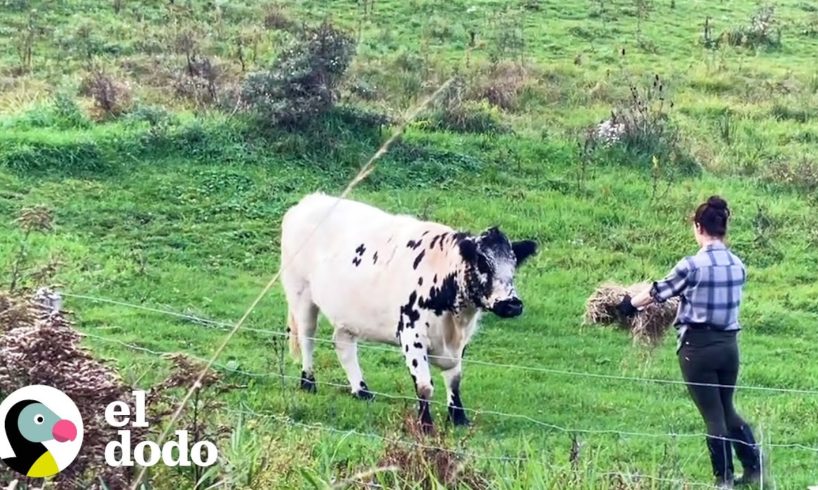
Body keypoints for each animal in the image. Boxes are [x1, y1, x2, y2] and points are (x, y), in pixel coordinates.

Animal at [278, 193, 540, 430]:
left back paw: (361, 390)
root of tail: (308, 201)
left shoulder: (460, 342)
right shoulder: (412, 334)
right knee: (307, 338)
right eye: (483, 263)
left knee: (343, 343)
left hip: (347, 312)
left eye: (514, 265)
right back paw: (308, 382)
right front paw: (425, 425)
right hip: (300, 294)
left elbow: (454, 379)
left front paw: (458, 418)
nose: (512, 304)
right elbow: (424, 385)